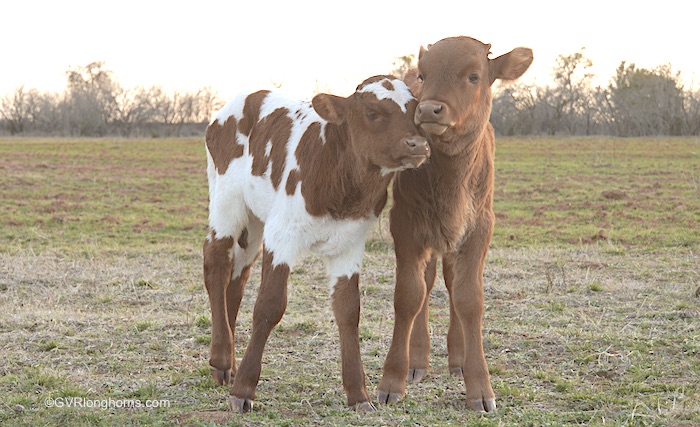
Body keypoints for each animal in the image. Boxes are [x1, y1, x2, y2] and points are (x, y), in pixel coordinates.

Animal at [202, 75, 430, 412]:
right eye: (373, 113)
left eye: (416, 110)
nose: (418, 144)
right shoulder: (282, 235)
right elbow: (269, 305)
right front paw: (244, 389)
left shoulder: (349, 244)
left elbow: (348, 311)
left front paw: (358, 394)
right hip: (227, 201)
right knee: (216, 262)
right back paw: (220, 357)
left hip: (254, 222)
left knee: (237, 275)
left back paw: (228, 359)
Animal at [380, 36, 532, 412]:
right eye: (423, 75)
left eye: (474, 76)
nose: (428, 110)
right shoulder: (404, 225)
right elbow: (409, 295)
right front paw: (392, 380)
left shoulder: (479, 229)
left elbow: (469, 299)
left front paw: (479, 387)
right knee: (428, 282)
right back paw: (417, 360)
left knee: (450, 285)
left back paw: (458, 358)